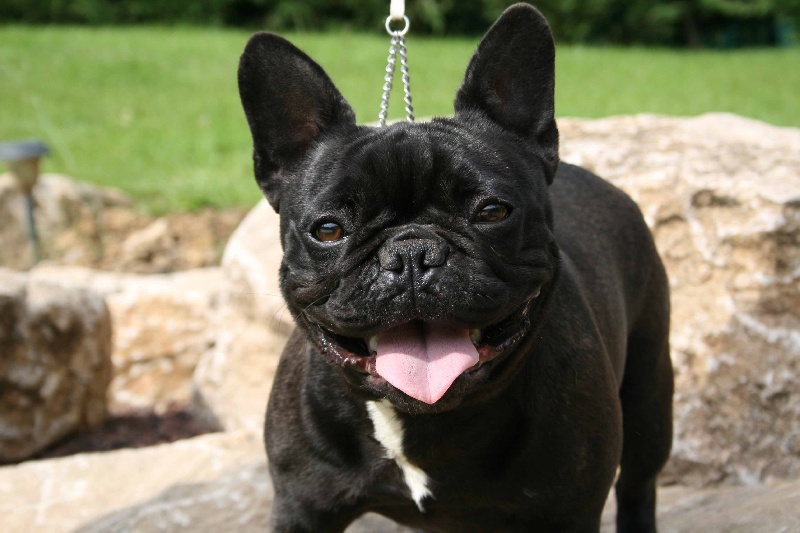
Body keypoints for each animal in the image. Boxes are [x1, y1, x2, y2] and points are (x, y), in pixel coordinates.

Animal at [238, 3, 673, 531]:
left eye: (492, 212)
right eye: (328, 230)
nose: (411, 253)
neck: (425, 419)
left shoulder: (568, 510)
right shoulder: (302, 507)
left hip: (650, 401)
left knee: (639, 484)